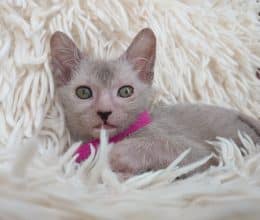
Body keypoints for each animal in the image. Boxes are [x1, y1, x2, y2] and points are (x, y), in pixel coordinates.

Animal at [49, 27, 260, 179]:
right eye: (83, 92)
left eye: (125, 91)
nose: (104, 112)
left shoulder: (207, 155)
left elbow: (169, 148)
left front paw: (117, 154)